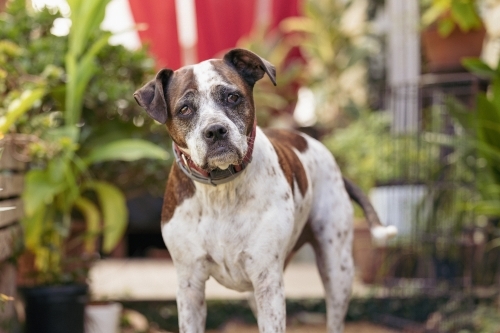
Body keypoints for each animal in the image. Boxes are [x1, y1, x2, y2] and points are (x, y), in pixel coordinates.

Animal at [134, 47, 398, 332]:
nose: (215, 130)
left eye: (232, 97)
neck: (221, 191)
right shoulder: (190, 286)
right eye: (184, 109)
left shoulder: (268, 281)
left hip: (337, 269)